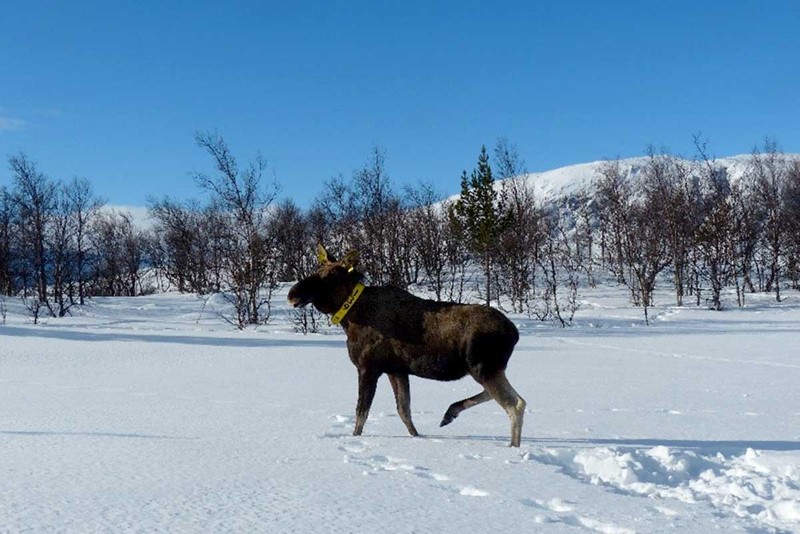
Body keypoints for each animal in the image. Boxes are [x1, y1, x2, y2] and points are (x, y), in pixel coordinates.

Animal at [286, 247, 524, 448]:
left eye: (330, 276)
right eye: (317, 270)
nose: (292, 294)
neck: (349, 319)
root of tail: (514, 332)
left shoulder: (368, 367)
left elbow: (361, 413)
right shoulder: (397, 370)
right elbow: (404, 411)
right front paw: (417, 437)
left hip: (482, 368)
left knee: (515, 404)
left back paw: (512, 447)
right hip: (486, 369)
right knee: (499, 396)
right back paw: (450, 413)